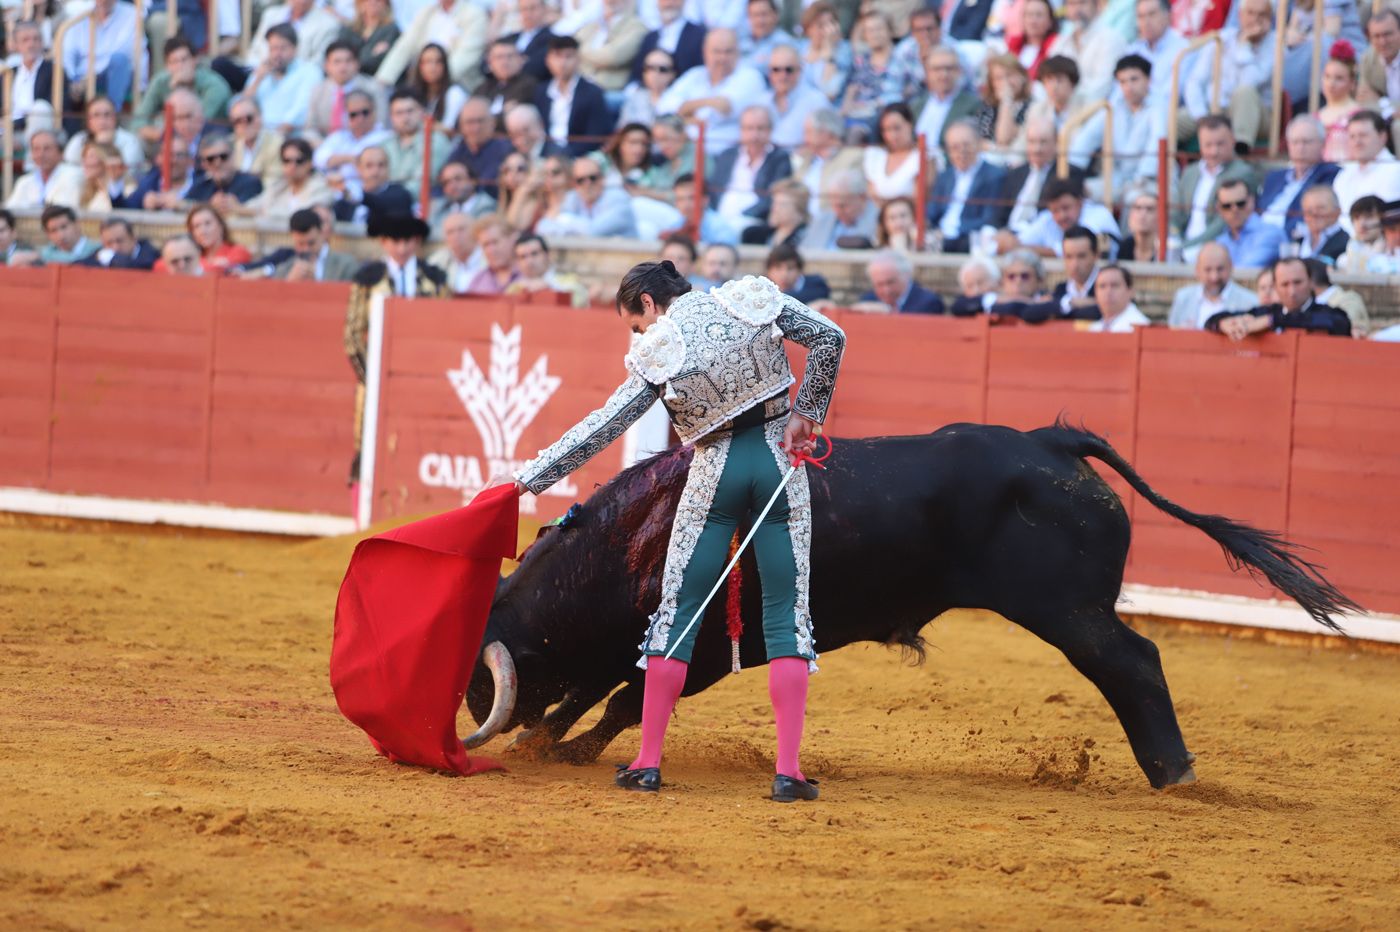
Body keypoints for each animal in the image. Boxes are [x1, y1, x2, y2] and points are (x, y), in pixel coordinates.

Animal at [462, 419, 1355, 783]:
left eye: (479, 675)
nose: (464, 718)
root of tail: (1051, 441)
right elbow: (597, 687)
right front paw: (547, 739)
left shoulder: (712, 644)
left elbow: (622, 697)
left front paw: (563, 749)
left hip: (1069, 611)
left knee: (1132, 662)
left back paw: (1173, 773)